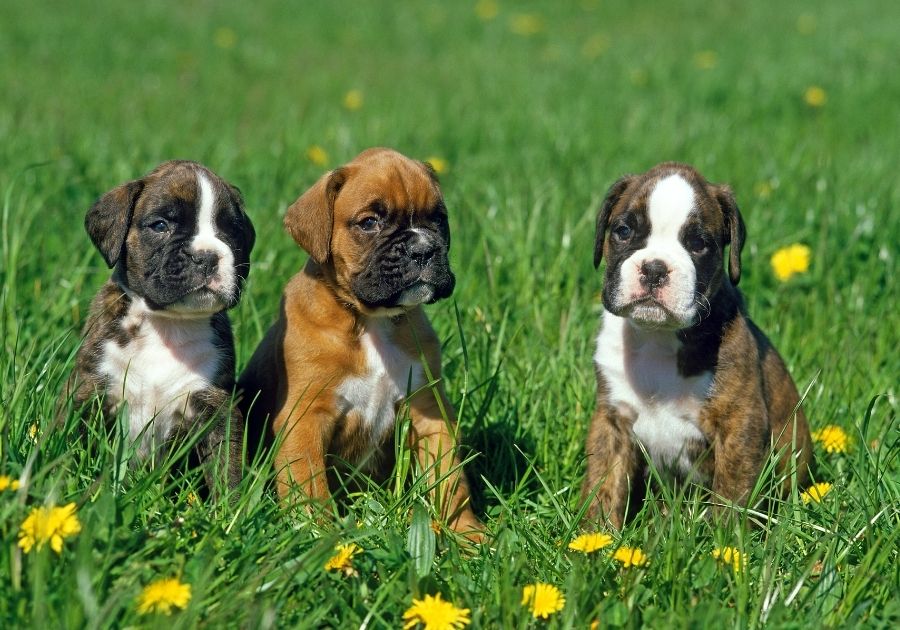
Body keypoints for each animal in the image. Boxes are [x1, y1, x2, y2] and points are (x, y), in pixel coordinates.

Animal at [63, 159, 255, 494]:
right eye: (161, 226)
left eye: (230, 230)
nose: (206, 256)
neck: (167, 324)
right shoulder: (88, 391)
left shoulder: (217, 408)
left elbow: (225, 469)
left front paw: (229, 507)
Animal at [236, 148, 482, 540]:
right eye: (369, 223)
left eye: (438, 219)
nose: (424, 249)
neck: (371, 321)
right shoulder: (304, 420)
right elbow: (309, 488)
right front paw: (320, 537)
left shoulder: (429, 413)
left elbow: (450, 481)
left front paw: (467, 534)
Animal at [584, 162, 816, 528]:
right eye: (623, 230)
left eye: (698, 243)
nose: (654, 268)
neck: (658, 336)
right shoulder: (612, 421)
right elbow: (603, 483)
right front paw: (593, 536)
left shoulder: (740, 424)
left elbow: (732, 494)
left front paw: (726, 539)